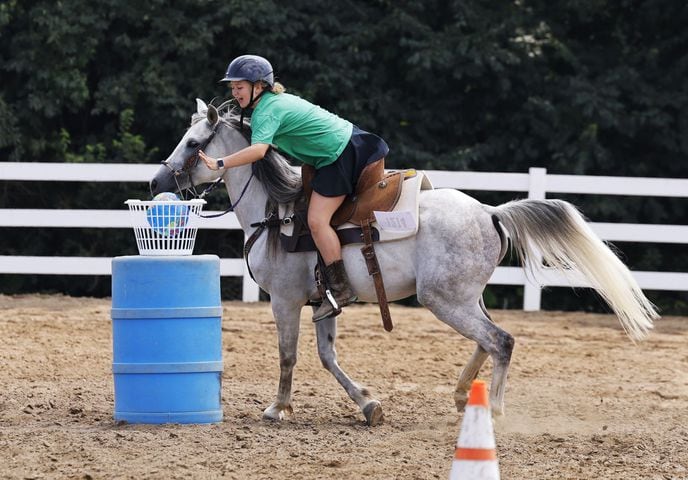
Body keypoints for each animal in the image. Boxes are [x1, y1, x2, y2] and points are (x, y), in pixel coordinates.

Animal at [150, 99, 656, 426]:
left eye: (193, 142)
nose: (156, 181)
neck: (277, 212)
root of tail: (490, 211)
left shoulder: (285, 301)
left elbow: (289, 356)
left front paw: (277, 408)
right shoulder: (322, 303)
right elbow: (328, 357)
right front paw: (367, 404)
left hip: (443, 300)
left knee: (501, 341)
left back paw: (492, 408)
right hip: (464, 298)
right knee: (488, 340)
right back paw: (461, 395)